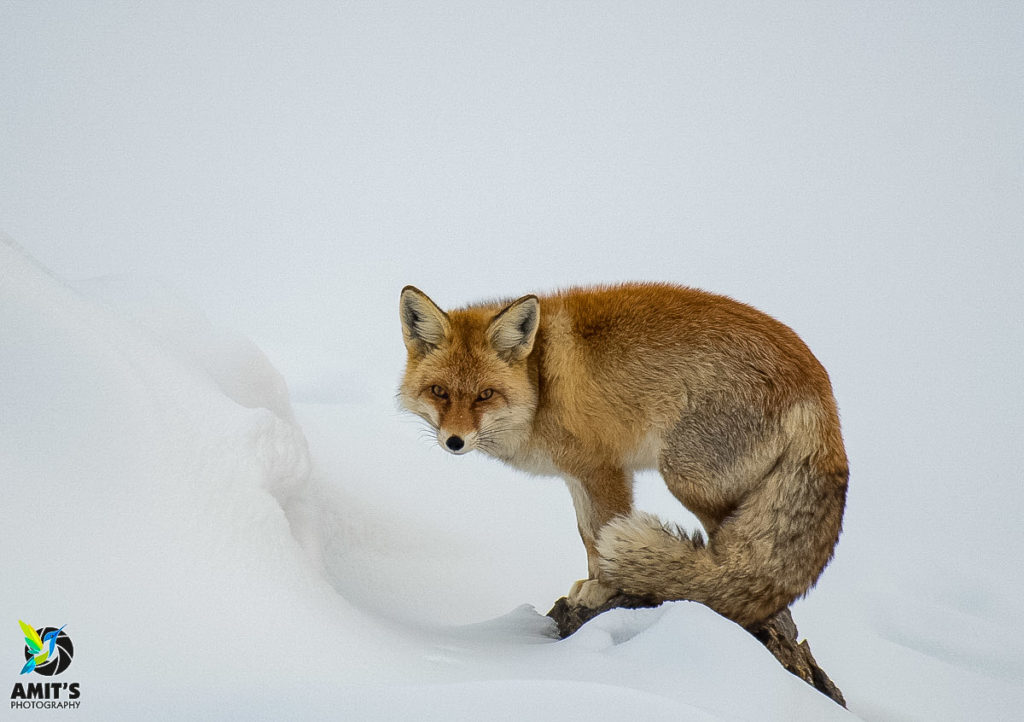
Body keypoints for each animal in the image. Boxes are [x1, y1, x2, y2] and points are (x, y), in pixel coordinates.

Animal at [398, 282, 848, 627]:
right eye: (439, 392)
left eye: (485, 395)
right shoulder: (577, 476)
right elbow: (588, 537)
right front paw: (592, 584)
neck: (541, 386)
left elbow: (602, 535)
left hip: (689, 478)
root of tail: (820, 385)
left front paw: (605, 590)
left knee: (731, 565)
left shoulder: (606, 470)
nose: (454, 441)